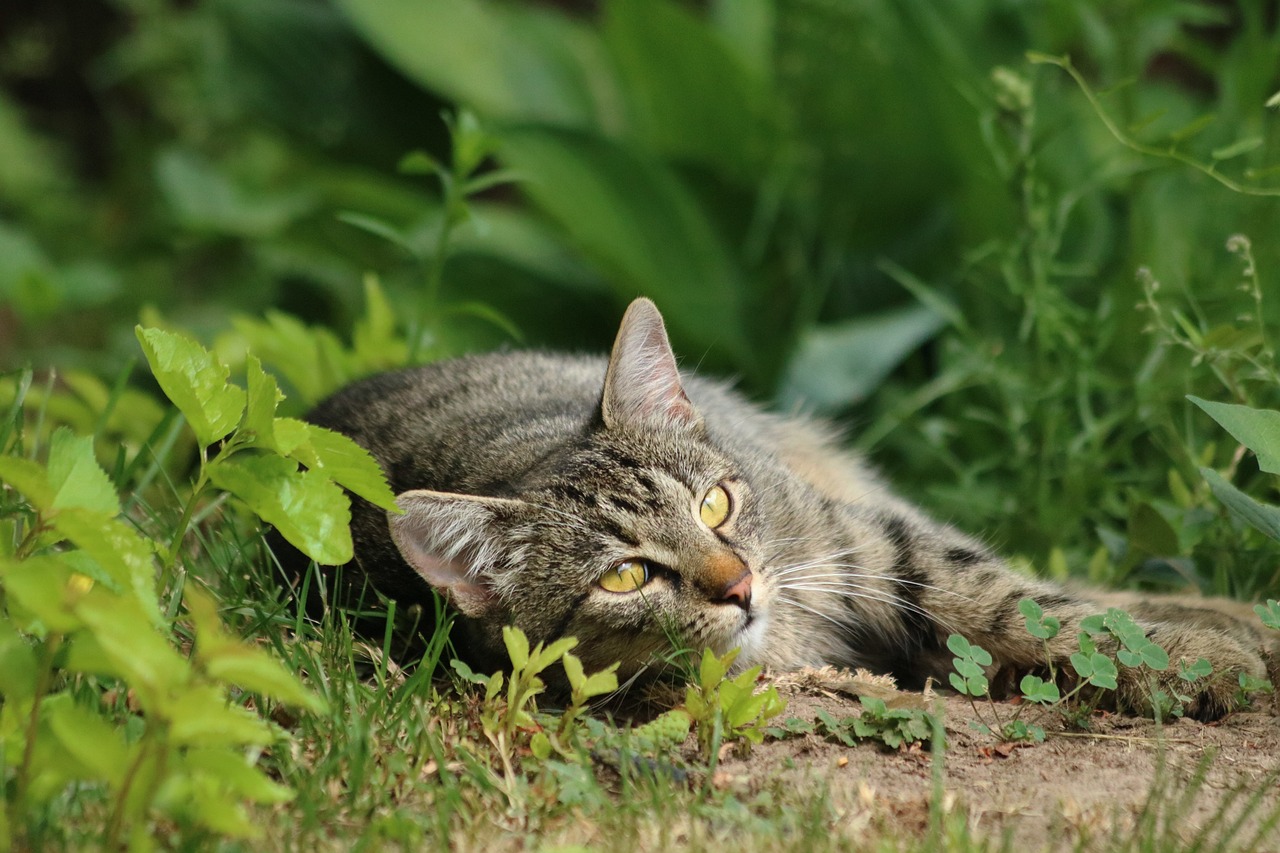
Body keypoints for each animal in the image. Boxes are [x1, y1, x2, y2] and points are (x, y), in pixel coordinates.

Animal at [285, 295, 1274, 712]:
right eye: (625, 577)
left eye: (717, 505)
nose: (739, 584)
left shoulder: (877, 545)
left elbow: (1016, 600)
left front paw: (1195, 658)